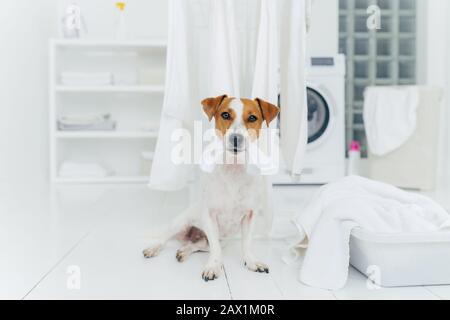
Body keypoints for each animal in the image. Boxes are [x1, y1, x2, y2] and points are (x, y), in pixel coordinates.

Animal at [142, 94, 280, 280]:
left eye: (252, 118)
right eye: (225, 115)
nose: (236, 138)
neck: (233, 168)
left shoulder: (250, 216)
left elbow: (247, 243)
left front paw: (251, 261)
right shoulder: (210, 215)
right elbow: (216, 250)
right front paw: (214, 266)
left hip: (217, 240)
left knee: (197, 245)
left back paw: (183, 251)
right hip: (180, 223)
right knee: (164, 238)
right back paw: (153, 248)